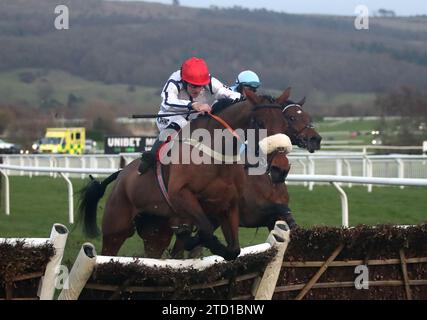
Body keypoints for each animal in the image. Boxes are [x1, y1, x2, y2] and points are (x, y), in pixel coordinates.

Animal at [77, 87, 290, 260]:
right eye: (260, 122)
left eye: (284, 123)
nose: (281, 168)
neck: (215, 156)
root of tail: (121, 174)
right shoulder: (182, 195)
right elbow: (205, 229)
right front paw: (190, 240)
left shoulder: (229, 205)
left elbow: (233, 249)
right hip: (115, 229)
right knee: (107, 252)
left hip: (156, 232)